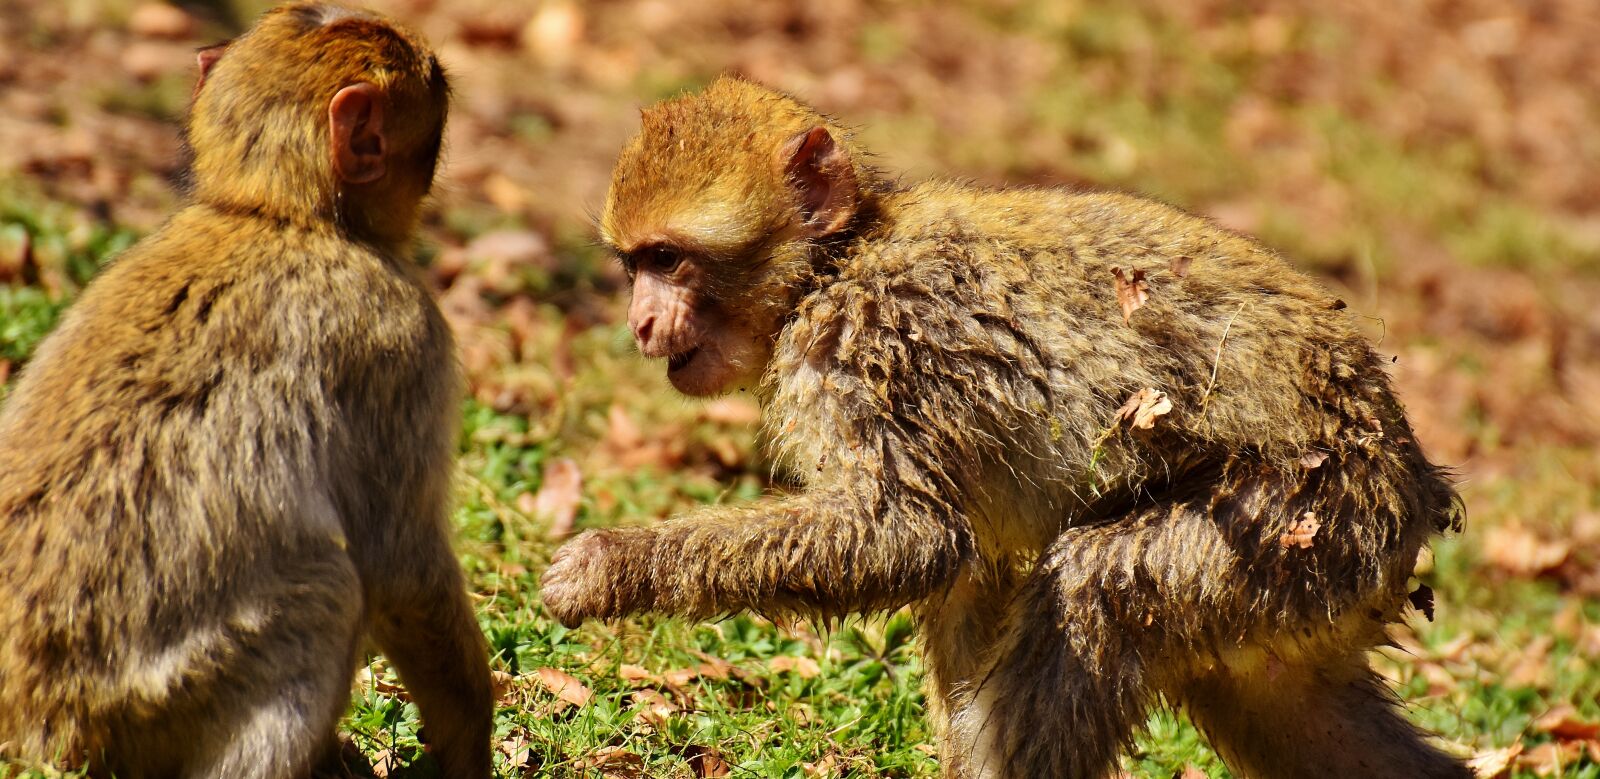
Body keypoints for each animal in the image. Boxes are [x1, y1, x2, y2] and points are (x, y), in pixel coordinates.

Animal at [0, 4, 492, 778]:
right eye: (435, 87)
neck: (277, 214)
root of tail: (33, 727)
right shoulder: (408, 345)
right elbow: (400, 564)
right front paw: (470, 741)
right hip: (153, 702)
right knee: (326, 595)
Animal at [539, 76, 1468, 778]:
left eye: (670, 260)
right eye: (634, 265)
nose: (641, 322)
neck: (835, 264)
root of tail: (1407, 469)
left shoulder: (876, 346)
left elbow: (906, 534)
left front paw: (609, 566)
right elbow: (961, 568)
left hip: (1310, 515)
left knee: (1096, 586)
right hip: (1313, 579)